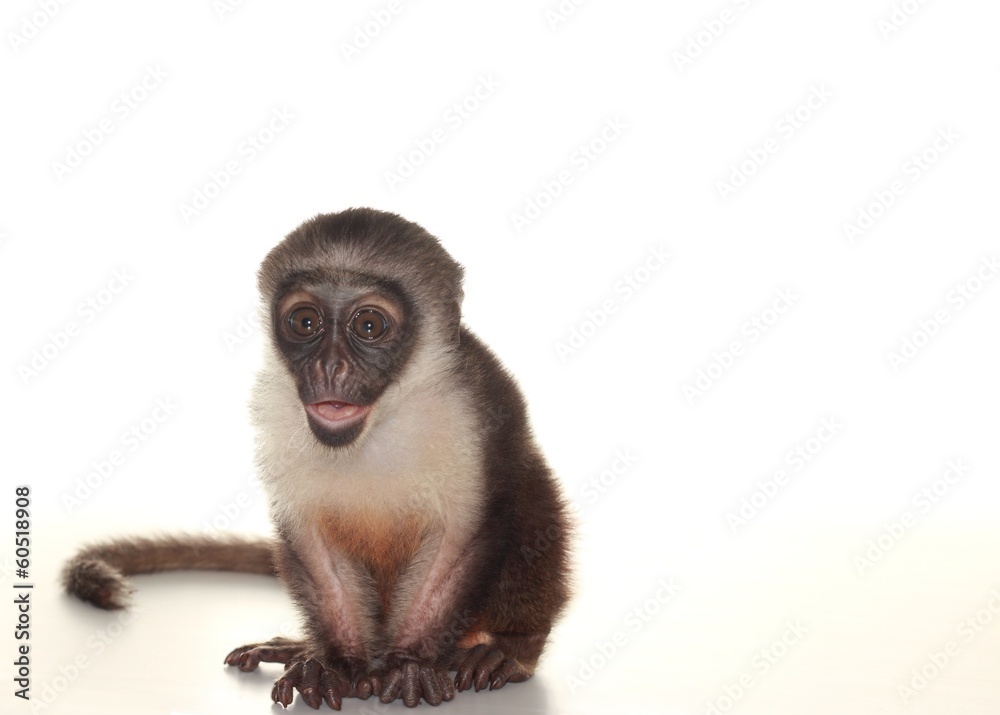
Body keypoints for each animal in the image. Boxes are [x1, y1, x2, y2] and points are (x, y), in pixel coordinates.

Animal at [63, 208, 572, 709]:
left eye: (368, 326)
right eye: (305, 323)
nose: (328, 367)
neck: (380, 419)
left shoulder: (477, 402)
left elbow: (464, 533)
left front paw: (409, 665)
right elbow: (311, 538)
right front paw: (336, 667)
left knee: (529, 494)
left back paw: (505, 649)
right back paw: (304, 648)